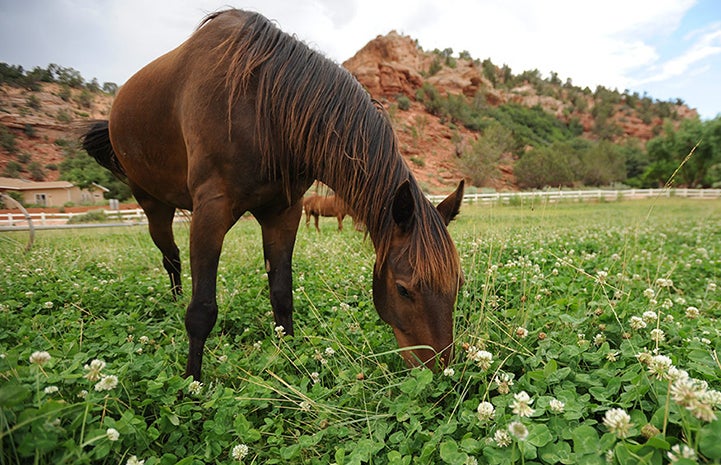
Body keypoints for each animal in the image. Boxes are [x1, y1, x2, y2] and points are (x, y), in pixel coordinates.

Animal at [82, 9, 464, 381]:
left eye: (457, 283)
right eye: (403, 289)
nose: (439, 372)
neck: (264, 107)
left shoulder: (284, 212)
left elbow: (281, 294)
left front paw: (290, 356)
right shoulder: (211, 210)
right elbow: (202, 310)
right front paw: (192, 383)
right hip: (152, 204)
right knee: (171, 259)